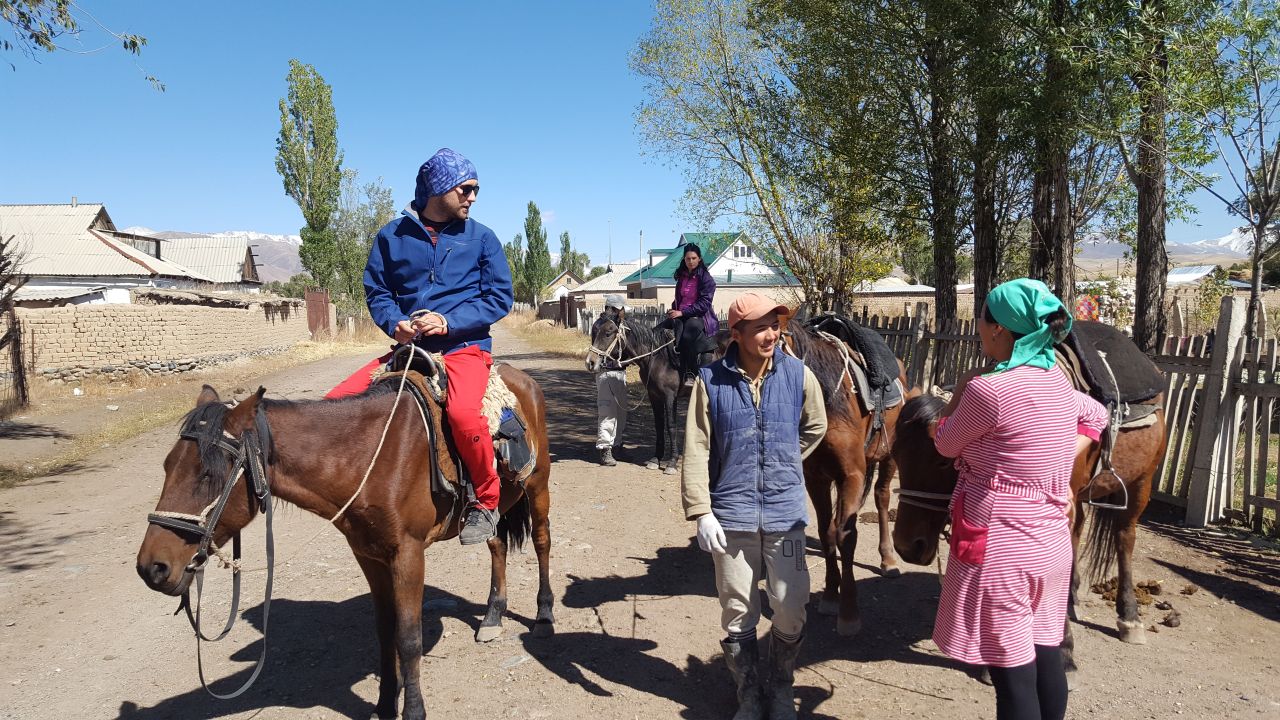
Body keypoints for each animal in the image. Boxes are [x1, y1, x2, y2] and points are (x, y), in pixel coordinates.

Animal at [135, 365, 554, 720]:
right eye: (167, 466)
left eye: (208, 474)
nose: (151, 567)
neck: (373, 457)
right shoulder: (369, 556)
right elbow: (386, 633)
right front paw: (385, 705)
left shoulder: (407, 555)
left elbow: (409, 638)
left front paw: (413, 710)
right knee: (497, 546)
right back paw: (493, 616)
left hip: (537, 486)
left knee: (541, 542)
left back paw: (544, 616)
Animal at [891, 381, 1166, 675]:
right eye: (895, 454)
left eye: (943, 461)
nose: (907, 547)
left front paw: (1064, 651)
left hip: (1141, 483)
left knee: (1124, 538)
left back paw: (1129, 616)